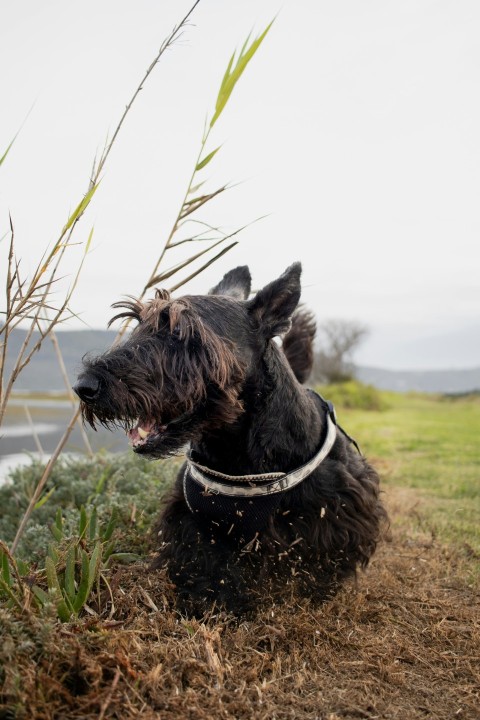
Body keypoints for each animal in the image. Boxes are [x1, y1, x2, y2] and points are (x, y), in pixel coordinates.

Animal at [76, 262, 390, 612]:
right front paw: (212, 603)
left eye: (181, 332)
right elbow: (207, 565)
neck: (235, 449)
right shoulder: (195, 522)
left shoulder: (332, 517)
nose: (85, 387)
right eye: (138, 322)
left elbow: (318, 564)